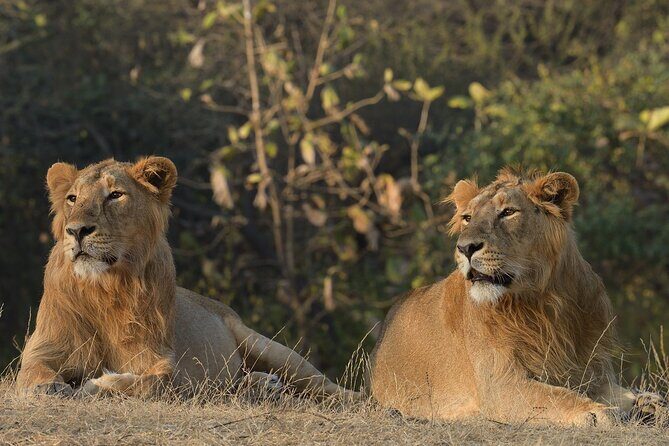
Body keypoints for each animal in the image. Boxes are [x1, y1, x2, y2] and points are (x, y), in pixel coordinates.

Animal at [16, 156, 356, 400]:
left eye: (115, 195)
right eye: (72, 198)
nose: (76, 231)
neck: (106, 288)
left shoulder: (168, 362)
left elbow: (154, 383)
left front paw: (97, 384)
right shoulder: (44, 347)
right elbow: (33, 371)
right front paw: (49, 387)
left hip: (267, 347)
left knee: (327, 387)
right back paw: (263, 385)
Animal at [369, 168, 653, 426]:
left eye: (507, 212)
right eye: (467, 218)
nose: (465, 248)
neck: (543, 300)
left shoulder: (592, 370)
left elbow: (624, 393)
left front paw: (648, 403)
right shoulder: (500, 385)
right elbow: (556, 396)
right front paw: (596, 411)